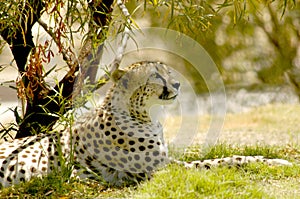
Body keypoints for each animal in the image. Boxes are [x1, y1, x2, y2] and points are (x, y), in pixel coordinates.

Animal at [0, 61, 292, 187]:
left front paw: (275, 161)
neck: (145, 114)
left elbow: (227, 158)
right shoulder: (166, 168)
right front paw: (277, 162)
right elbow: (222, 161)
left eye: (167, 71)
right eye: (155, 76)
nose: (177, 84)